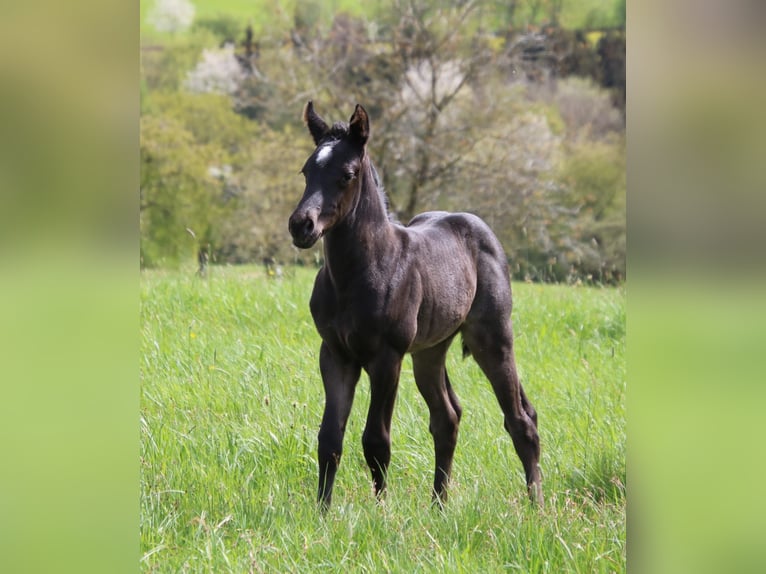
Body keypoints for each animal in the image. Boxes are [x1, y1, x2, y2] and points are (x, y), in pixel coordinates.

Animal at [290, 101, 544, 510]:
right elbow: (329, 439)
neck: (360, 272)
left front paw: (381, 512)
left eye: (347, 174)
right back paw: (439, 506)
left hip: (493, 340)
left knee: (520, 420)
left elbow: (376, 440)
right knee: (447, 418)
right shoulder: (335, 355)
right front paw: (322, 512)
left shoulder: (387, 357)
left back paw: (536, 506)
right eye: (306, 170)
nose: (302, 226)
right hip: (430, 352)